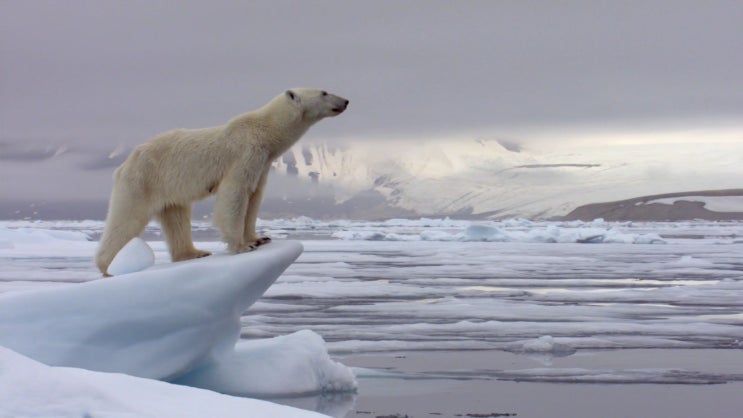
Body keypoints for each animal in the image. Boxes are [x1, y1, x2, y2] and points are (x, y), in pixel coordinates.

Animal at [95, 88, 348, 276]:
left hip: (169, 188)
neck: (265, 132)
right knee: (127, 219)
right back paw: (109, 266)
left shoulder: (262, 163)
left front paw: (259, 238)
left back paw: (194, 252)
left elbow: (254, 197)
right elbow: (235, 193)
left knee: (176, 218)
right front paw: (242, 246)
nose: (345, 100)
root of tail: (125, 164)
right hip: (143, 180)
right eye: (324, 92)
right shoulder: (245, 153)